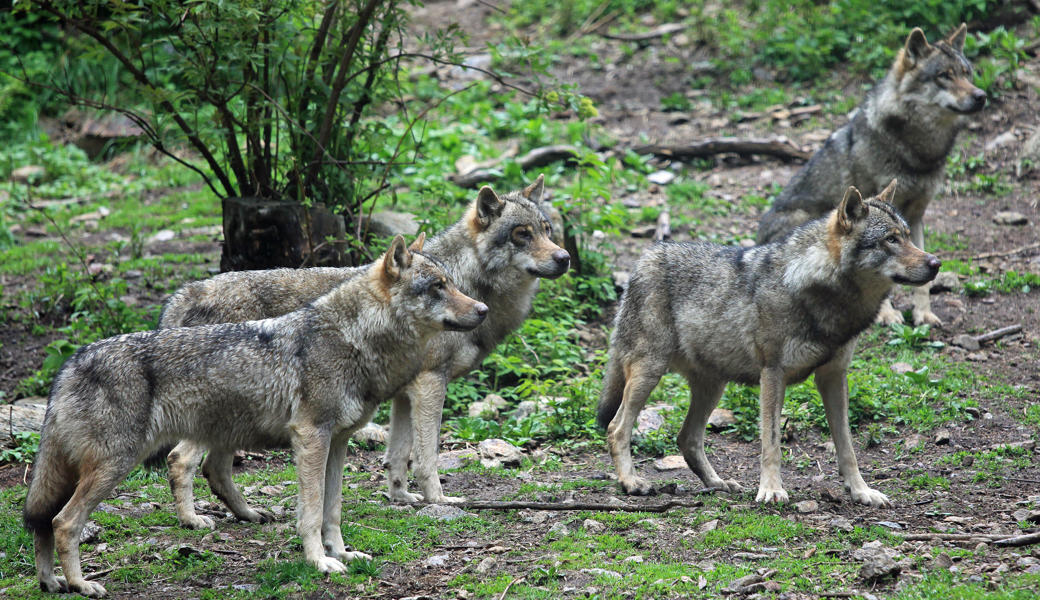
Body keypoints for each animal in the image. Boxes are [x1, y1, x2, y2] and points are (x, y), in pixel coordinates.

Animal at [23, 236, 486, 594]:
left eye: (452, 284)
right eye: (438, 286)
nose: (482, 310)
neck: (353, 339)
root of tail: (70, 364)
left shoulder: (337, 442)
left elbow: (333, 510)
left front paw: (342, 553)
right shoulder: (311, 438)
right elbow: (311, 512)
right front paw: (319, 563)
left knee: (43, 522)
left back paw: (52, 583)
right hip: (115, 466)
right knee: (64, 522)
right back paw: (81, 584)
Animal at [157, 172, 565, 528]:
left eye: (547, 230)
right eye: (522, 234)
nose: (564, 258)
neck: (471, 283)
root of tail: (186, 292)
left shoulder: (404, 393)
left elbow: (397, 456)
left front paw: (402, 498)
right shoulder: (430, 383)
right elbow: (427, 457)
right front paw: (438, 500)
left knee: (214, 468)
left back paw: (250, 514)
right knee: (181, 459)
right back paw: (192, 520)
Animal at [599, 180, 940, 505]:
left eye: (908, 236)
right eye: (890, 240)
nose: (935, 263)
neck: (822, 293)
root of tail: (645, 258)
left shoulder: (833, 376)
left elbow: (847, 447)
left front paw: (861, 492)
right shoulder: (773, 373)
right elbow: (771, 442)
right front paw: (772, 491)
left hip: (713, 386)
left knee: (687, 438)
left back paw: (718, 484)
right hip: (650, 373)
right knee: (617, 428)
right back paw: (632, 482)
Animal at [757, 23, 981, 324]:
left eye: (967, 73)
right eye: (944, 76)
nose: (980, 96)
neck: (917, 151)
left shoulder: (915, 216)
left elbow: (921, 280)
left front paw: (923, 314)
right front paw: (886, 314)